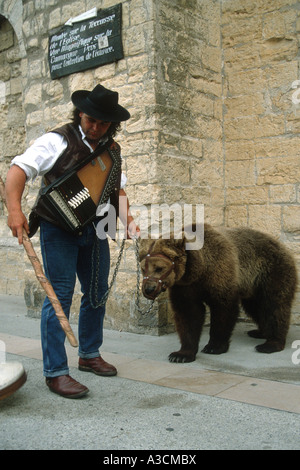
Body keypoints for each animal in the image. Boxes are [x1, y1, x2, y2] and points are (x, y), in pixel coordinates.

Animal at [139, 225, 298, 364]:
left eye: (159, 268)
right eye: (143, 268)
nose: (148, 289)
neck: (198, 271)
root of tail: (283, 246)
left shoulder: (219, 272)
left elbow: (223, 308)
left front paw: (214, 346)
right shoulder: (184, 287)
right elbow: (188, 313)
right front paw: (181, 355)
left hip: (271, 271)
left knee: (274, 305)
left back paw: (271, 343)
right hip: (252, 285)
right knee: (256, 307)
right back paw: (259, 332)